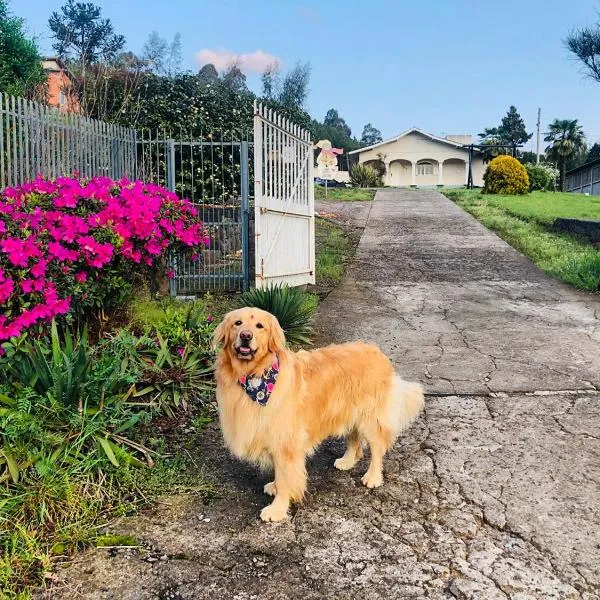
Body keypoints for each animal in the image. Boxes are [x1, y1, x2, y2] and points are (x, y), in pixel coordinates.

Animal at [213, 308, 424, 524]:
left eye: (259, 326)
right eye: (238, 323)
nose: (246, 336)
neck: (254, 375)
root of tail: (379, 353)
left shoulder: (286, 441)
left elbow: (285, 475)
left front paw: (277, 508)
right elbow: (281, 473)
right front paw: (275, 486)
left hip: (370, 418)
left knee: (378, 448)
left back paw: (373, 477)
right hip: (349, 411)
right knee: (354, 439)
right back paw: (348, 460)